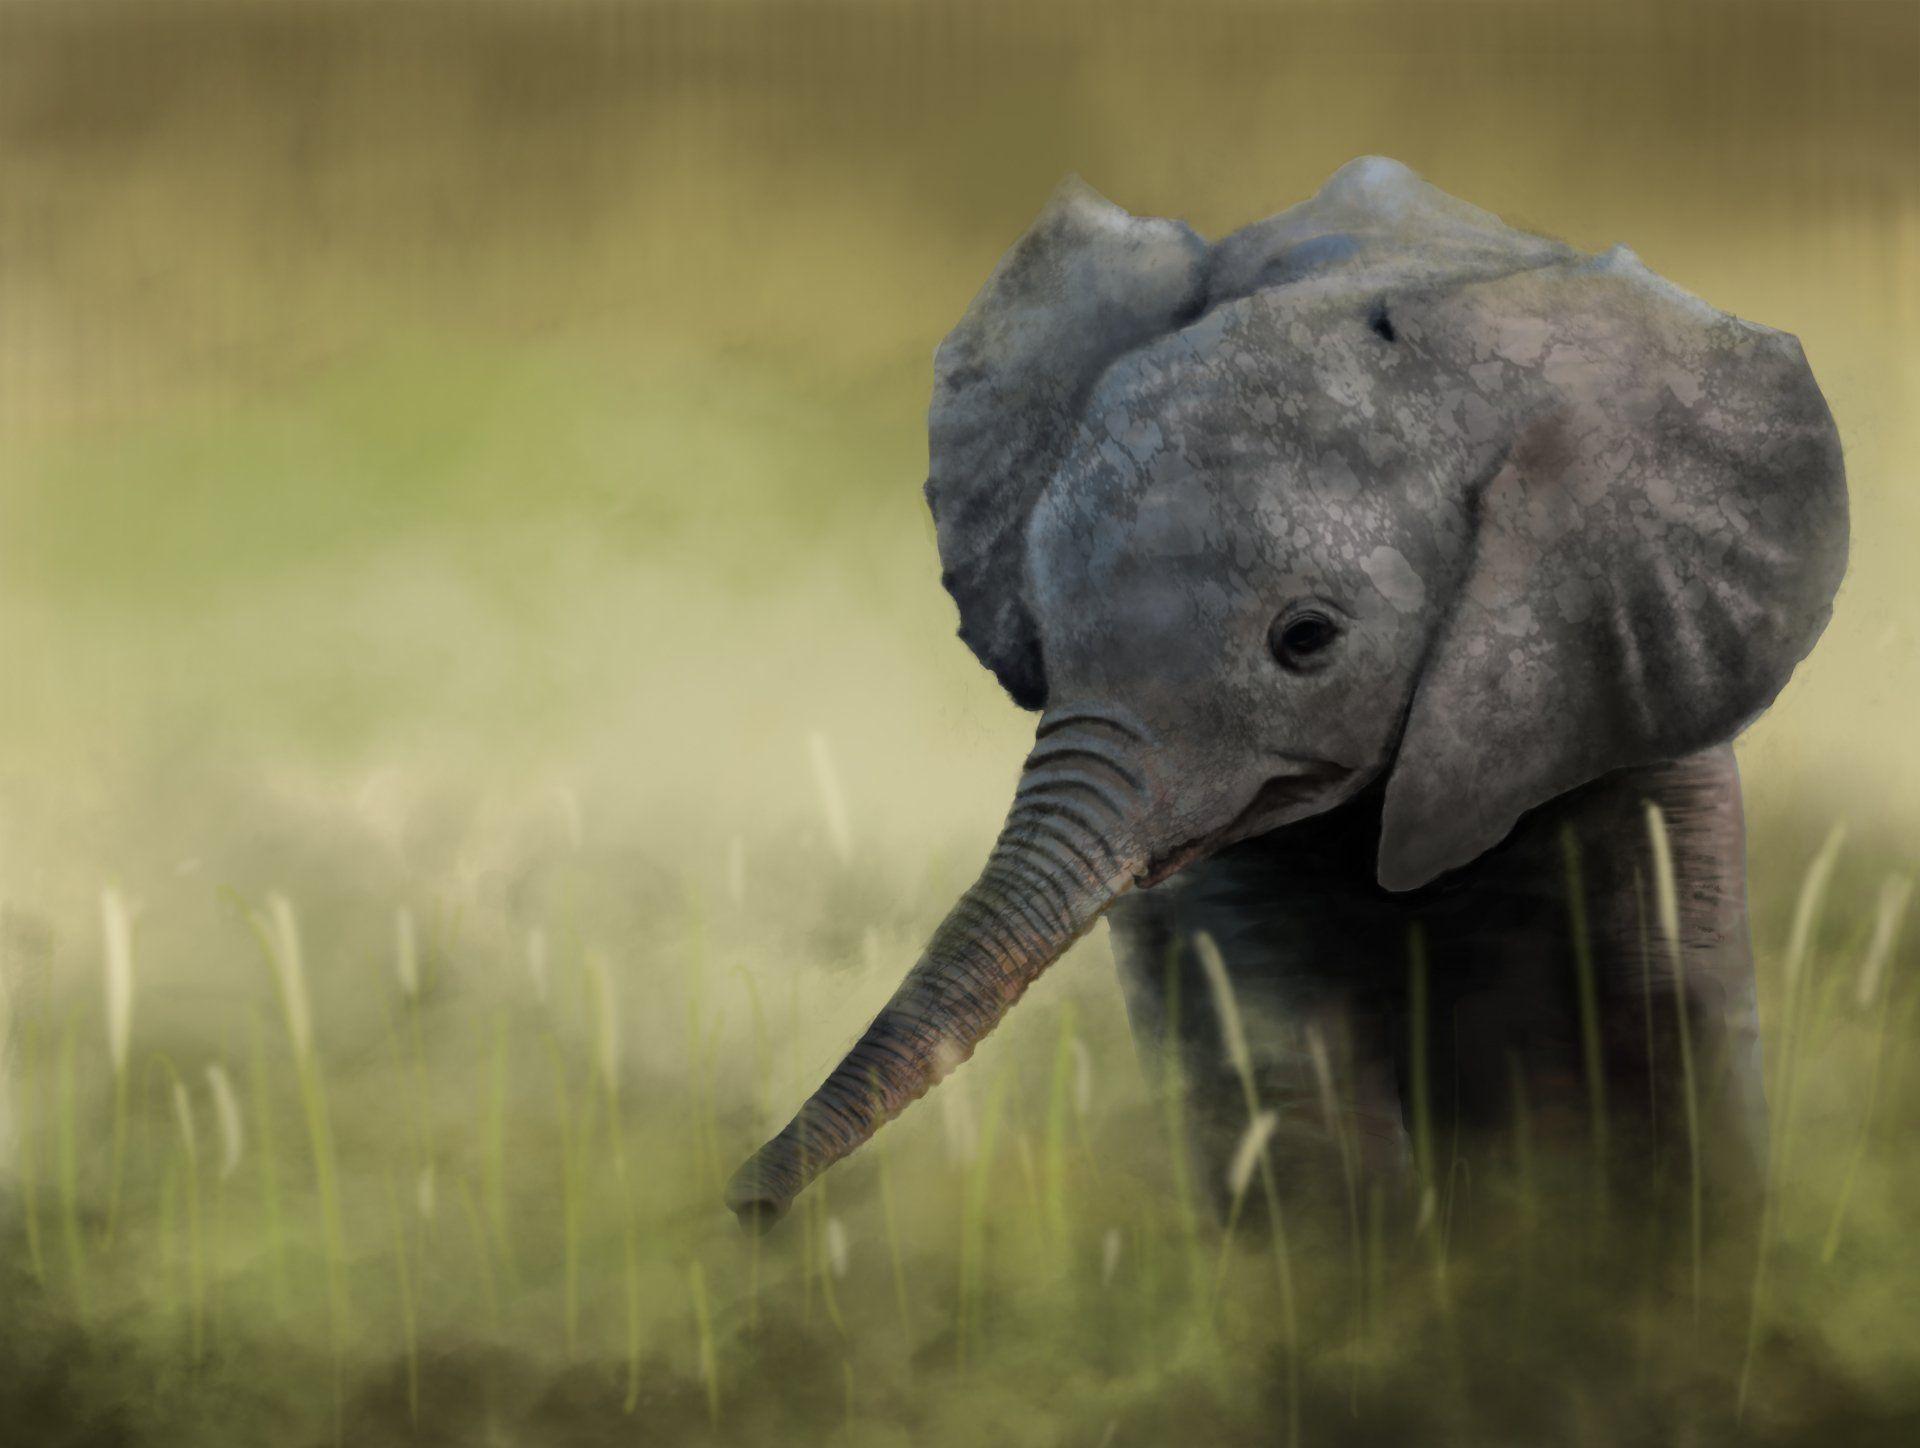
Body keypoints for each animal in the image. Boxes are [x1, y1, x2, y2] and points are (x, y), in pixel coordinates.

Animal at [725, 157, 1848, 1239]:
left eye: (1306, 639)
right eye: (1039, 629)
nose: (744, 1205)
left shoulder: (1627, 694)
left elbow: (1659, 1049)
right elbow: (1282, 1082)